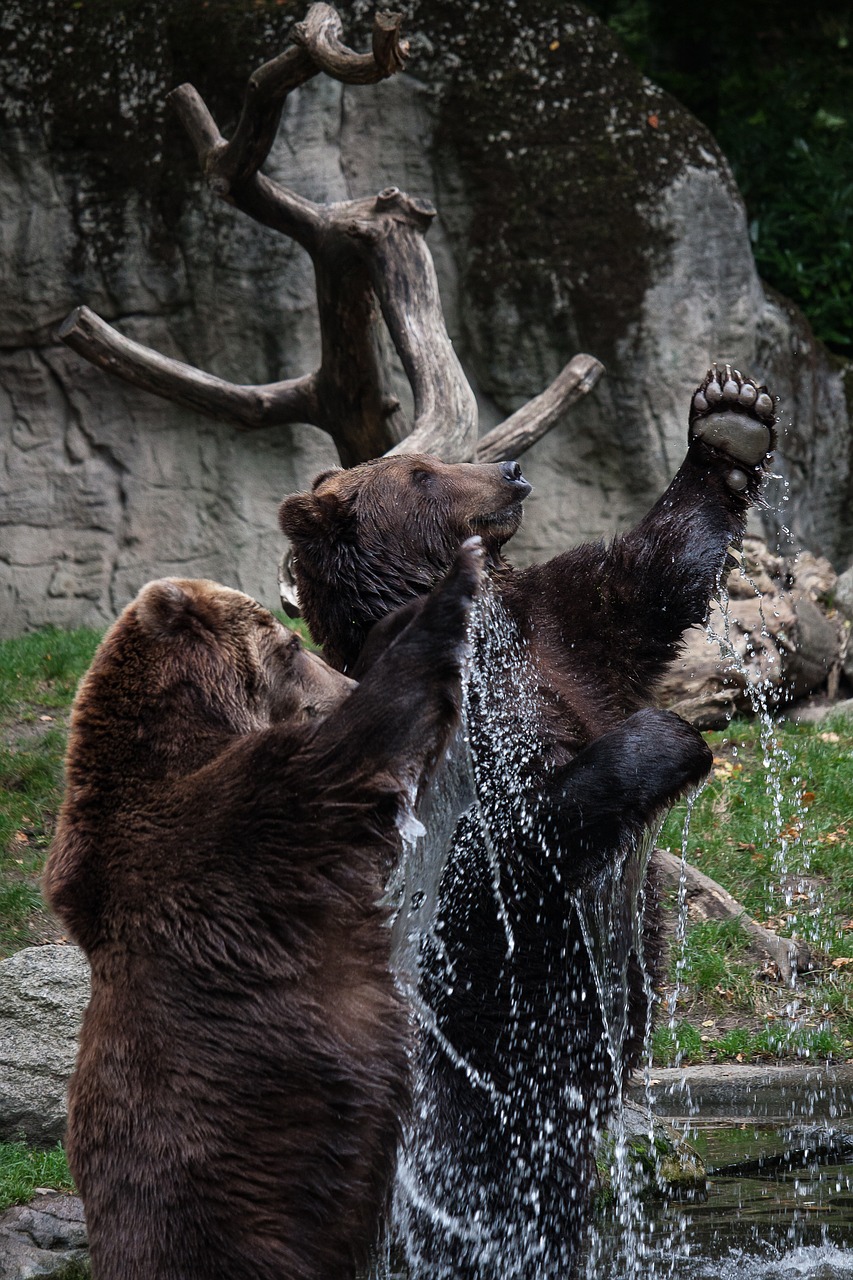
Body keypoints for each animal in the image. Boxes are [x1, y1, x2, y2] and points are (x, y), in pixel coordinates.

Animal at [43, 550, 486, 1280]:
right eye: (291, 646)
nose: (340, 679)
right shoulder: (240, 822)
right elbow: (364, 750)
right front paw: (456, 588)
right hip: (237, 1222)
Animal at [278, 366, 777, 1278]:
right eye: (423, 474)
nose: (509, 471)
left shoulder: (564, 626)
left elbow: (650, 575)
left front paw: (731, 418)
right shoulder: (435, 723)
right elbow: (503, 842)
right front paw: (666, 741)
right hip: (465, 1045)